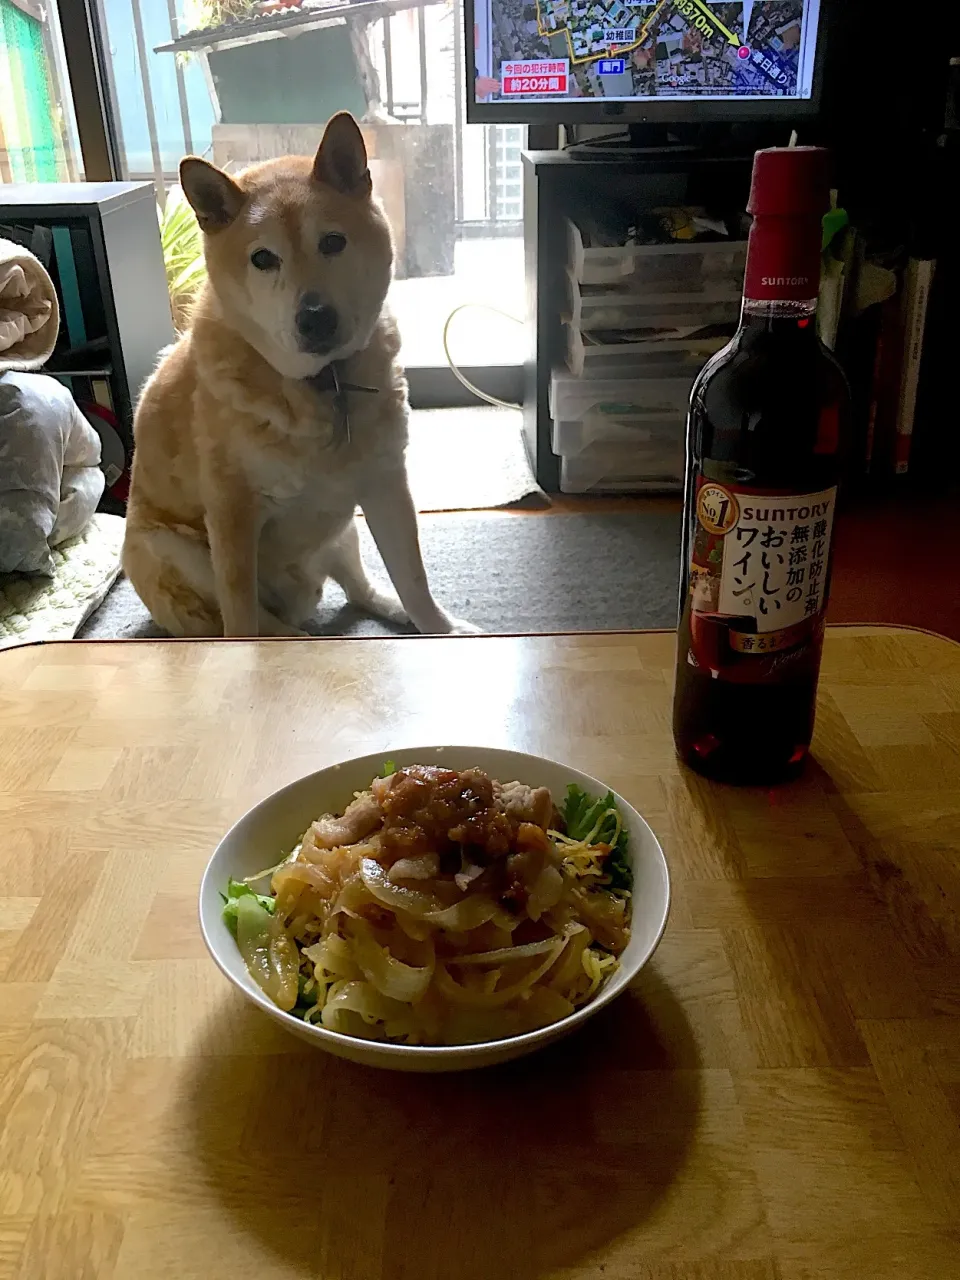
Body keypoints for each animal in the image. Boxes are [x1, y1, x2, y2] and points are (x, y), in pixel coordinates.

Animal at [124, 108, 478, 634]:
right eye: (262, 258)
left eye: (332, 242)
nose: (315, 317)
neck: (323, 383)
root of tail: (301, 601)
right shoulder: (231, 516)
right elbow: (240, 621)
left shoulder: (386, 486)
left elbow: (414, 585)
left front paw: (441, 631)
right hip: (174, 549)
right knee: (265, 626)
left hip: (343, 531)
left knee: (363, 591)